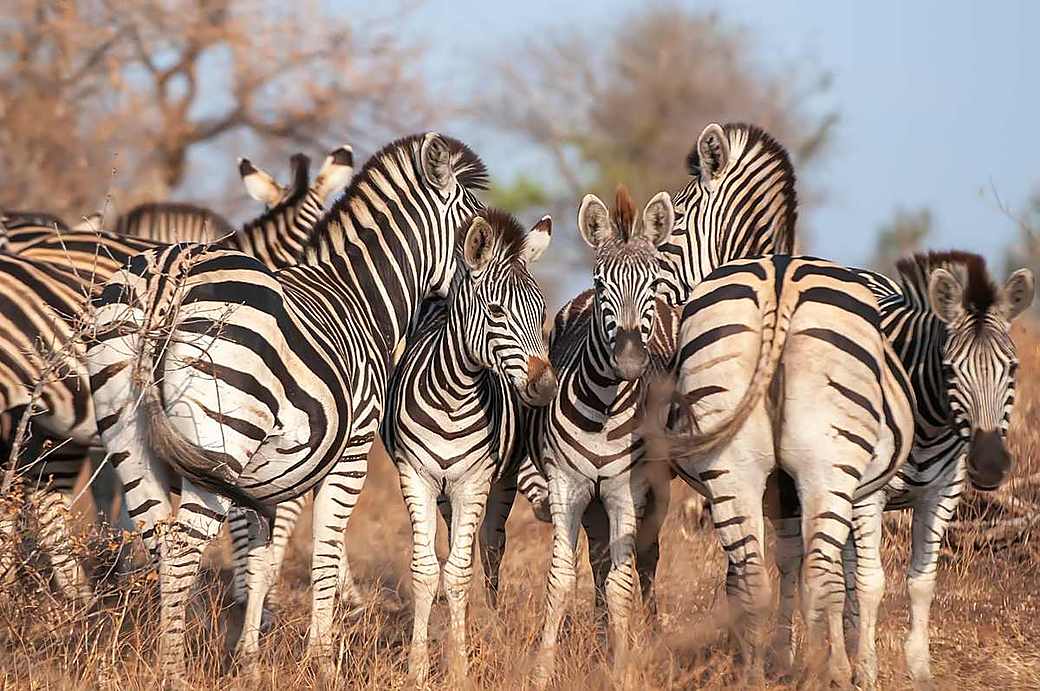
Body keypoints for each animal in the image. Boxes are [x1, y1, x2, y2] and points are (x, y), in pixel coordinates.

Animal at [84, 133, 494, 683]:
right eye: (477, 235)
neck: (362, 294)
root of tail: (170, 273)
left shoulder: (264, 479)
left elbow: (260, 561)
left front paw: (250, 660)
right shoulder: (350, 452)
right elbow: (322, 554)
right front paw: (321, 661)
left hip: (128, 434)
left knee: (159, 541)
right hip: (220, 434)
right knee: (183, 545)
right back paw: (174, 672)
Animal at [381, 209, 556, 683]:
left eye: (543, 311)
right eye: (496, 311)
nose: (547, 388)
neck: (452, 396)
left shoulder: (475, 481)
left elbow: (459, 573)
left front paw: (458, 669)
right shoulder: (415, 476)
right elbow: (426, 570)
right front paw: (417, 669)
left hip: (502, 481)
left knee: (491, 551)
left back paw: (493, 627)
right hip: (444, 491)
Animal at [525, 186, 675, 686]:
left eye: (653, 283)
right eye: (602, 283)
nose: (628, 361)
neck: (604, 409)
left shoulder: (627, 490)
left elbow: (621, 583)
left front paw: (622, 669)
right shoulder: (567, 486)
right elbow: (561, 579)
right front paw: (543, 672)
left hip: (657, 487)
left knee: (644, 561)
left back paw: (644, 637)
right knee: (597, 560)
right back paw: (595, 637)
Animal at [647, 255, 916, 685]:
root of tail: (780, 277)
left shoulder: (782, 499)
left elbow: (788, 564)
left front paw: (781, 656)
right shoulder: (863, 494)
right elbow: (857, 581)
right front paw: (861, 670)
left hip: (731, 466)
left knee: (756, 580)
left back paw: (754, 675)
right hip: (828, 463)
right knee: (820, 577)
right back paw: (826, 672)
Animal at [770, 251, 1034, 689]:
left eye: (1012, 368)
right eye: (949, 369)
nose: (989, 466)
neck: (928, 421)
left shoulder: (942, 494)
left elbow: (922, 582)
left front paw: (918, 668)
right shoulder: (868, 497)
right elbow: (871, 583)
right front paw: (866, 669)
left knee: (840, 571)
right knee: (799, 565)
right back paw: (792, 657)